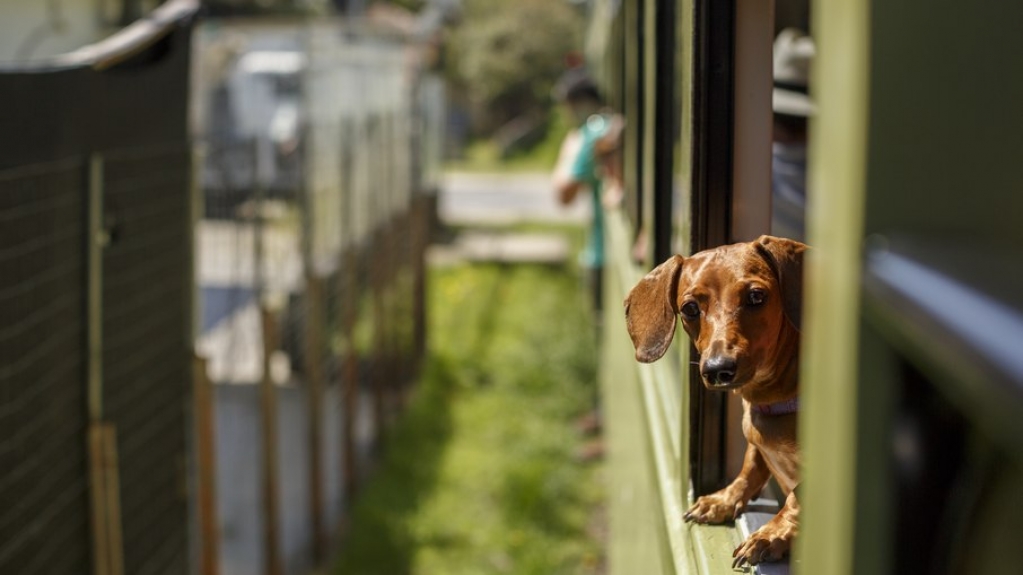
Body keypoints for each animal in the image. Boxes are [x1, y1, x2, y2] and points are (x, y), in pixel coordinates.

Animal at [621, 233, 806, 564]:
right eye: (690, 308)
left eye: (756, 296)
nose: (718, 369)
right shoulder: (756, 448)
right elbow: (750, 467)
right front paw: (724, 500)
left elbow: (797, 499)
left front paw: (772, 533)